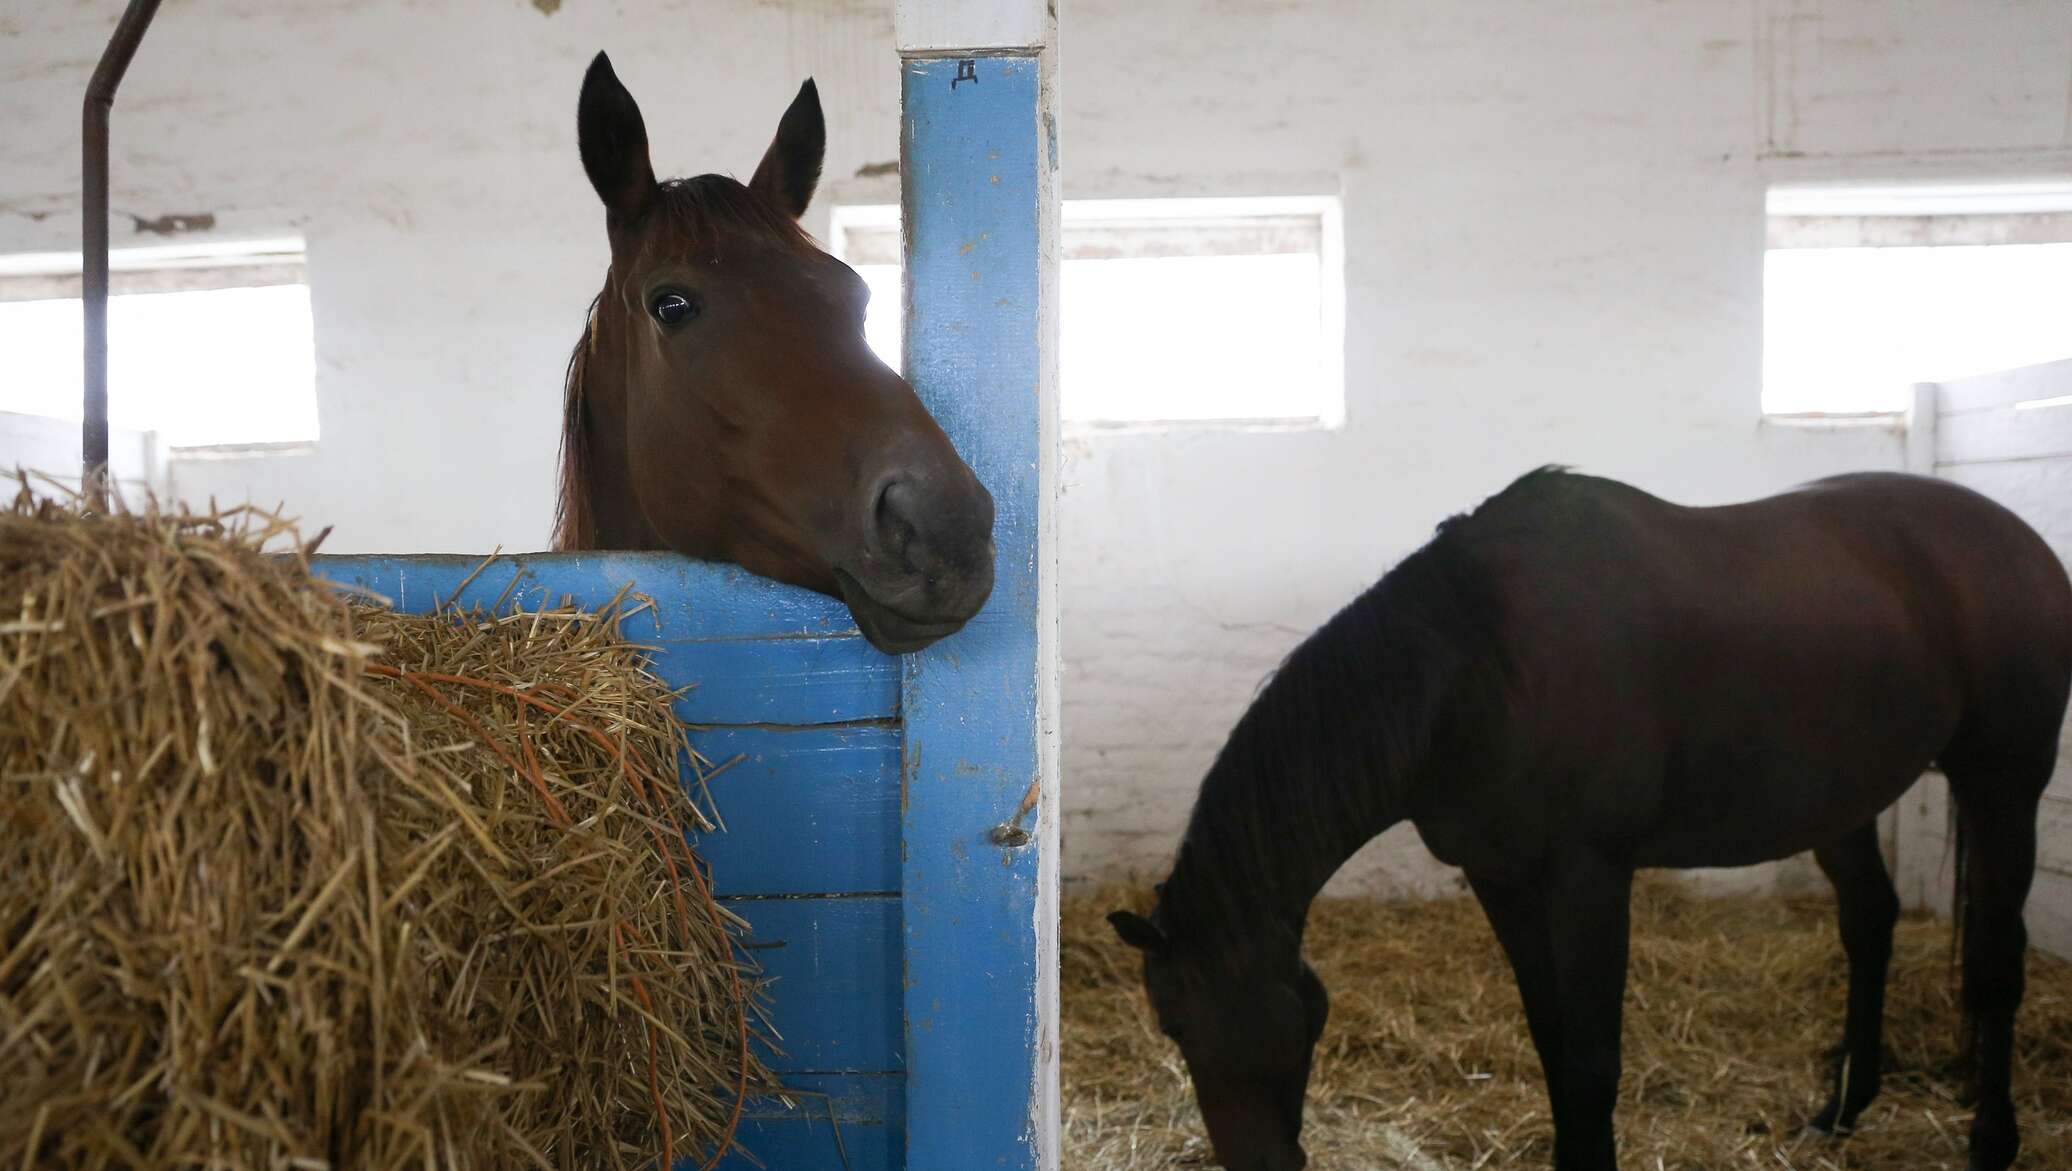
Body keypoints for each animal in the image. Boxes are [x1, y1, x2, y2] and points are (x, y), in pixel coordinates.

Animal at [1118, 466, 2072, 1168]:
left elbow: (1591, 1060)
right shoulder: (1501, 877)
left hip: (2002, 785)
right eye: (1170, 1023)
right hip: (1843, 799)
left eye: (1207, 1017)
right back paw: (1840, 1110)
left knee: (1996, 962)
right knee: (1870, 923)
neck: (1479, 670)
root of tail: (2020, 540)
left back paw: (1992, 1141)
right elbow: (1552, 1043)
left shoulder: (1589, 876)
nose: (1258, 1165)